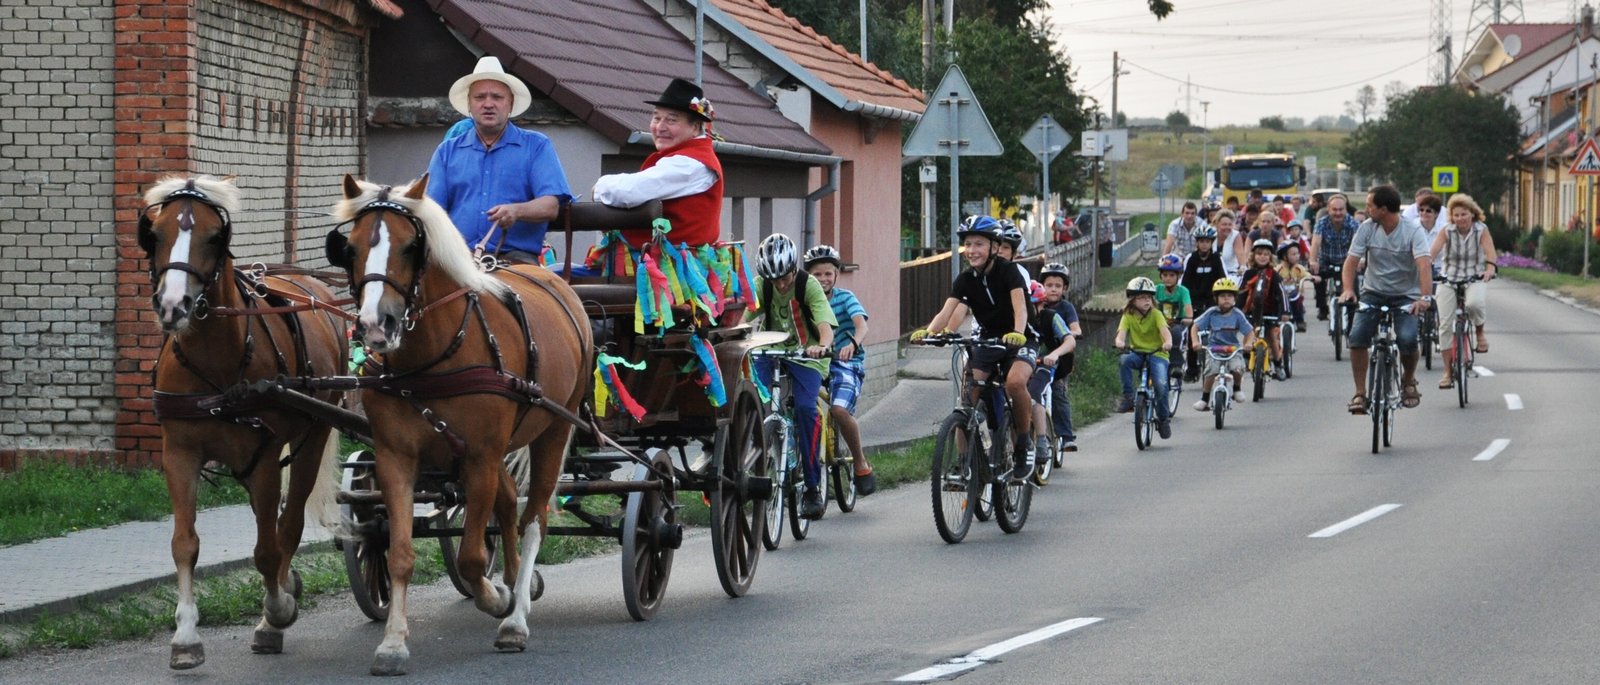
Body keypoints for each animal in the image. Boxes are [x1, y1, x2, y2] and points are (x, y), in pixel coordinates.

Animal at [136, 174, 348, 669]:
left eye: (216, 236)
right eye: (155, 234)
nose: (173, 306)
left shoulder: (266, 457)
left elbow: (268, 549)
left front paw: (276, 612)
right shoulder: (180, 454)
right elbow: (184, 543)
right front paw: (185, 637)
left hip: (311, 439)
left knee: (288, 524)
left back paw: (278, 607)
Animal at [325, 174, 592, 676]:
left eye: (411, 246)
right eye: (349, 247)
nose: (376, 325)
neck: (434, 355)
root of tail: (557, 281)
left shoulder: (480, 457)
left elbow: (470, 557)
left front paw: (499, 601)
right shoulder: (395, 458)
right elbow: (401, 554)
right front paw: (393, 643)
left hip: (552, 431)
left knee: (533, 519)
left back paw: (516, 617)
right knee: (507, 506)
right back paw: (517, 583)